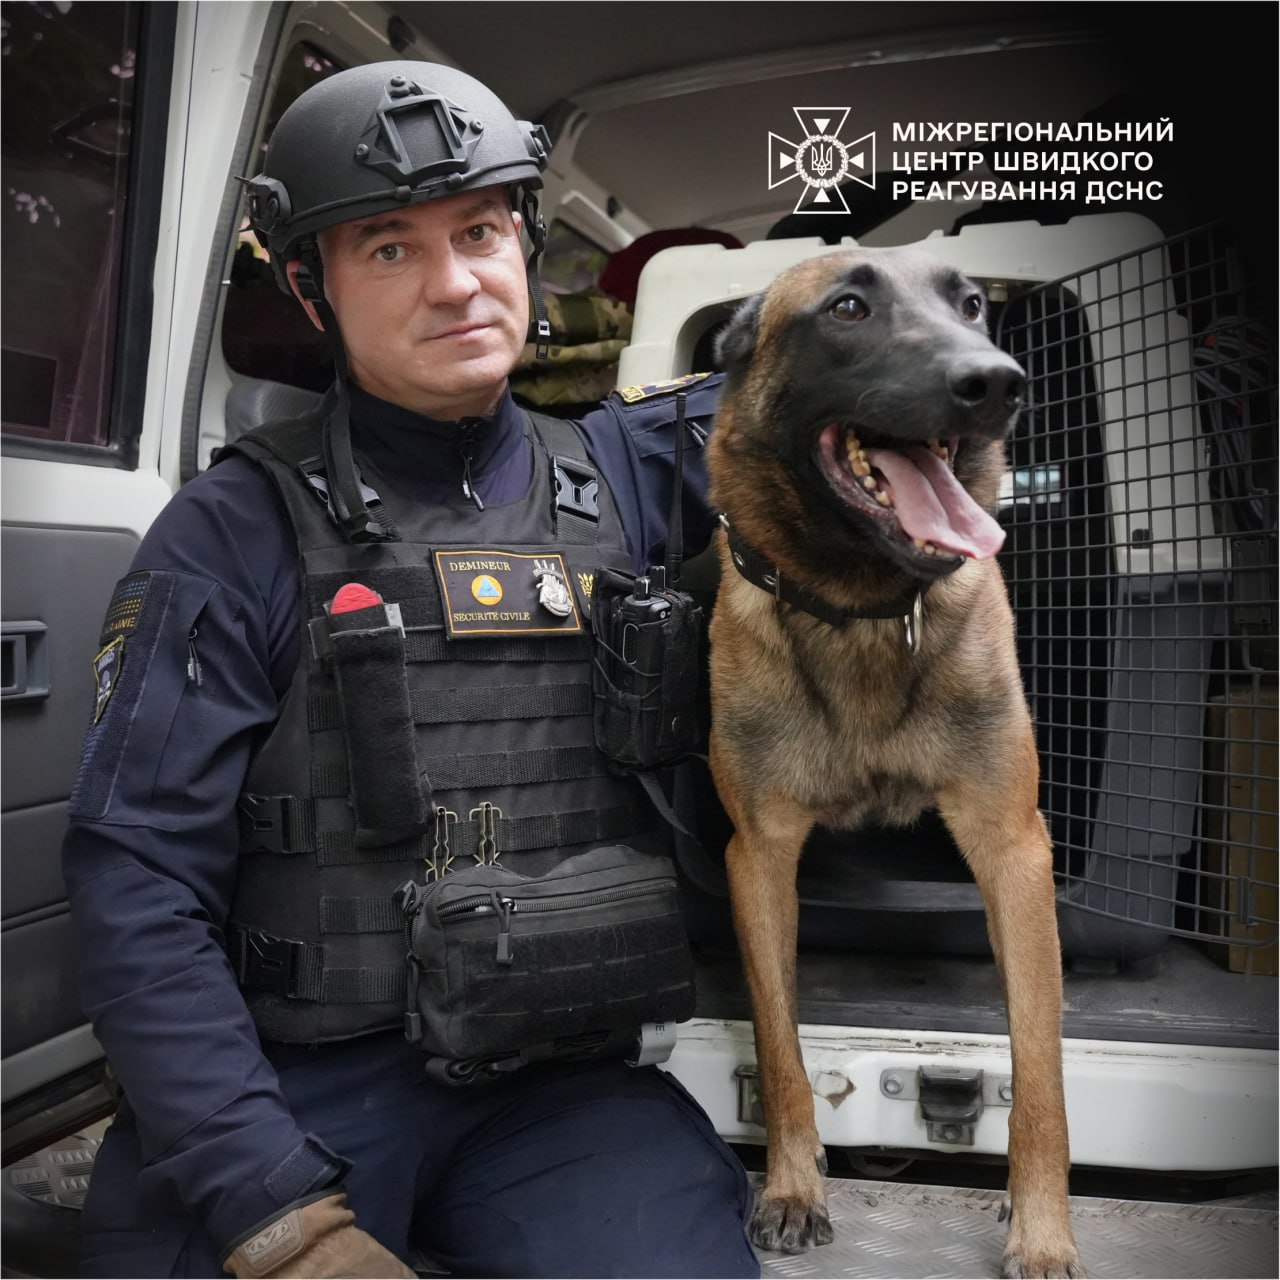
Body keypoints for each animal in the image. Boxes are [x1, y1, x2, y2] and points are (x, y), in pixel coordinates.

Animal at [705, 247, 1083, 1278]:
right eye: (847, 308)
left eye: (974, 305)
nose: (999, 382)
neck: (867, 607)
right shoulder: (759, 859)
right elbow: (783, 1049)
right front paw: (795, 1187)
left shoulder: (1012, 851)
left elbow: (1039, 1071)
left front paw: (1043, 1229)